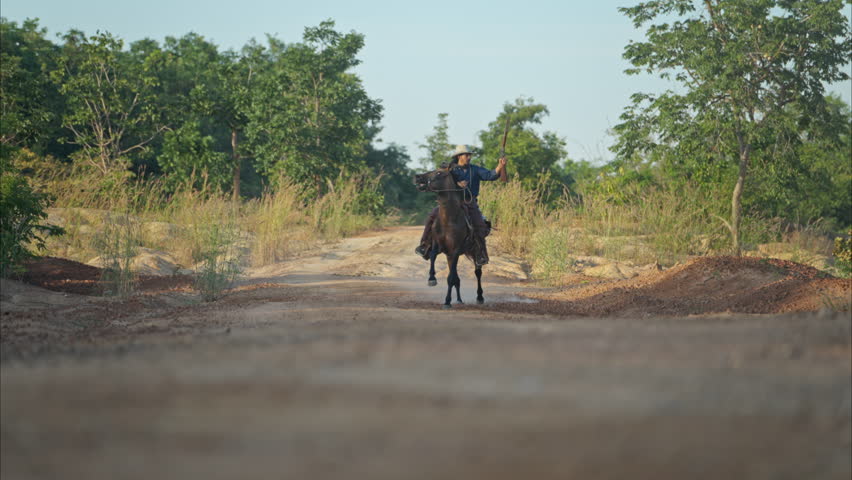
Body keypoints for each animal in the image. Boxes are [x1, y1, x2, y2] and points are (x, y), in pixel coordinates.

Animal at [414, 164, 485, 308]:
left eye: (438, 173)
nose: (418, 177)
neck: (449, 220)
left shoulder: (456, 250)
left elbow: (450, 278)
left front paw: (447, 301)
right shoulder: (438, 245)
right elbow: (433, 256)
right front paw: (432, 279)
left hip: (474, 254)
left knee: (477, 273)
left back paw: (479, 297)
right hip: (450, 256)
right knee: (456, 277)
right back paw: (459, 299)